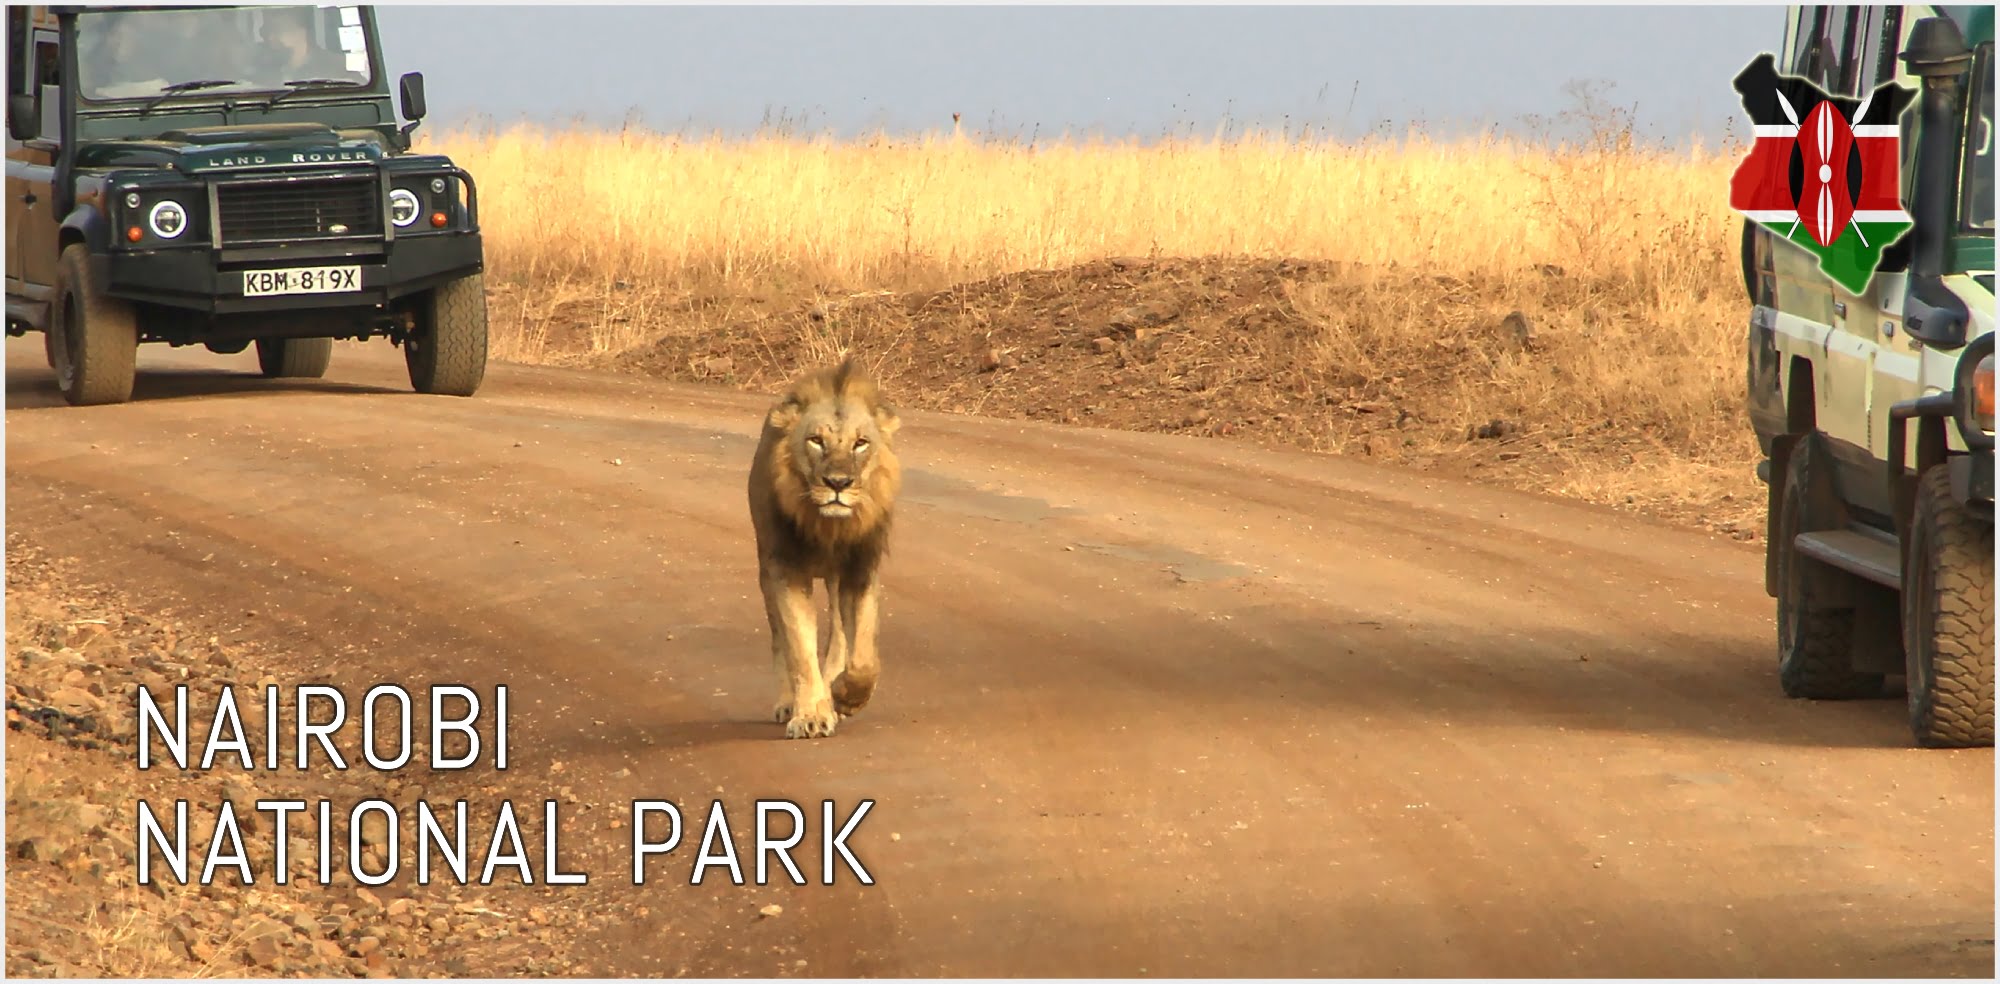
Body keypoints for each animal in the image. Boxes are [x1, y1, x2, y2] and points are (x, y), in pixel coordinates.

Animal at [748, 356, 904, 736]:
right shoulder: (786, 571)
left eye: (861, 443)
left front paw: (846, 698)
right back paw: (790, 702)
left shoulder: (859, 571)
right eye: (816, 440)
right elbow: (799, 650)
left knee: (839, 638)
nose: (837, 483)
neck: (829, 527)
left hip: (834, 581)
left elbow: (862, 657)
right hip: (766, 571)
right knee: (779, 639)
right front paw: (810, 715)